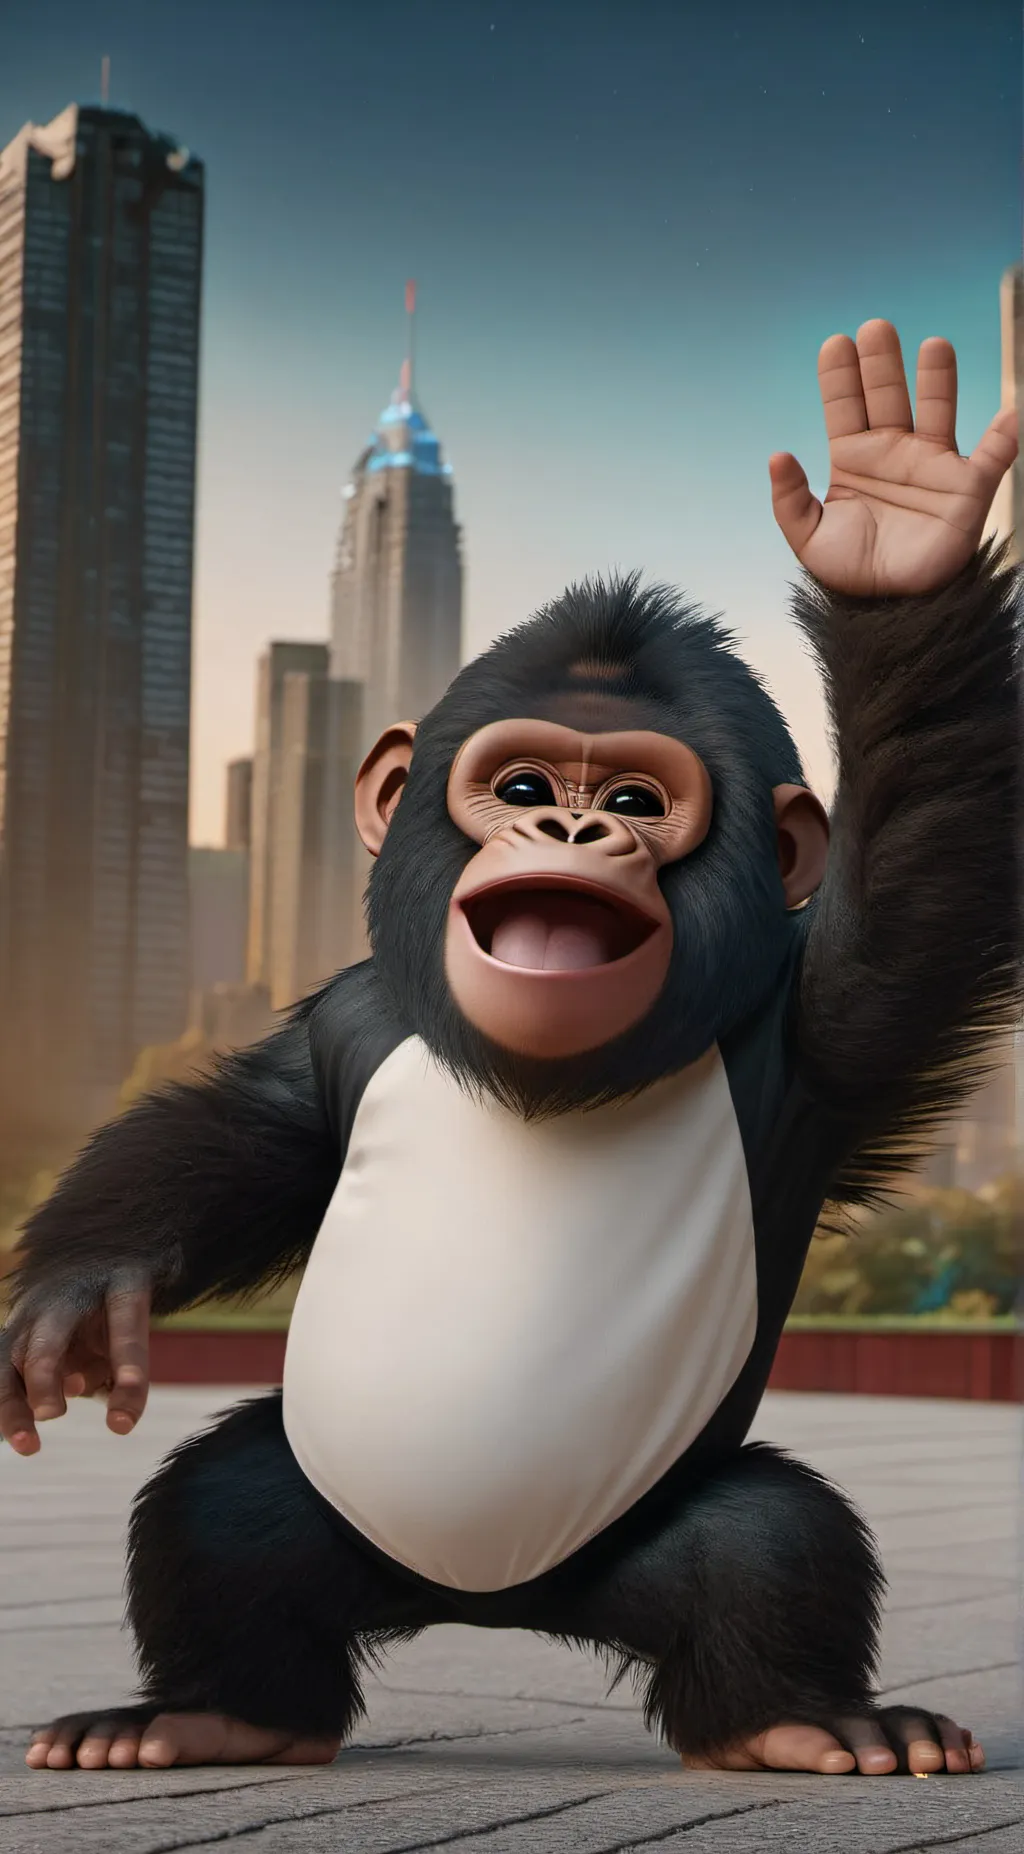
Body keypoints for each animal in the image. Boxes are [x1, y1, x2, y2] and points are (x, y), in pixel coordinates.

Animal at [1, 320, 1019, 1780]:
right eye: (527, 786)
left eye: (639, 798)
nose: (577, 832)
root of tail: (493, 1604)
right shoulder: (352, 1023)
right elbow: (244, 1132)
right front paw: (85, 1296)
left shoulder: (815, 1027)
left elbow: (922, 884)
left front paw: (900, 530)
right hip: (323, 1525)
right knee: (223, 1518)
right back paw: (203, 1711)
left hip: (650, 1548)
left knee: (771, 1544)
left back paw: (809, 1721)